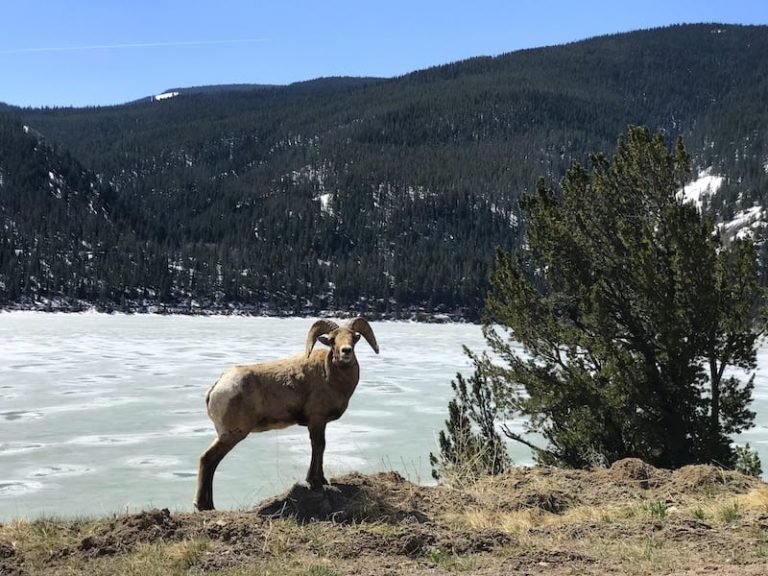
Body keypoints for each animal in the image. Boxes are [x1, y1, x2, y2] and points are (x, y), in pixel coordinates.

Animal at [193, 317, 379, 511]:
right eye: (332, 339)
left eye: (353, 337)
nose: (346, 351)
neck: (331, 376)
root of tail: (217, 386)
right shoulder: (317, 420)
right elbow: (318, 446)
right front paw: (315, 482)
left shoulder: (320, 423)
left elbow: (320, 447)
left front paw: (320, 480)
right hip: (233, 434)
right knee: (208, 459)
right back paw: (204, 506)